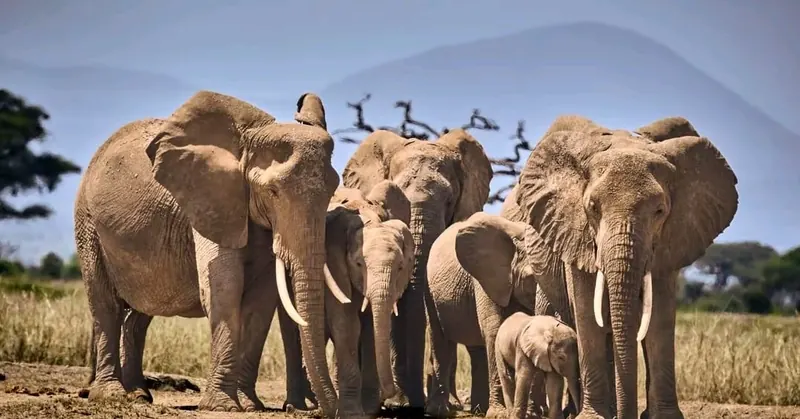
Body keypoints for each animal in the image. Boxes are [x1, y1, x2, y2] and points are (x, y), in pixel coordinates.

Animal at [73, 90, 347, 416]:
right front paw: (224, 406)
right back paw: (110, 395)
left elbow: (260, 301)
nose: (325, 411)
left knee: (141, 313)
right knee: (105, 305)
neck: (245, 144)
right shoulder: (209, 199)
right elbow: (224, 287)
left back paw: (139, 395)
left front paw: (249, 405)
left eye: (332, 191)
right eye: (273, 192)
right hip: (88, 222)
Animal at [513, 115, 739, 419]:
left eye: (660, 211)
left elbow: (659, 322)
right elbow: (588, 317)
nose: (627, 414)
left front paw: (663, 417)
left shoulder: (671, 242)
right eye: (592, 208)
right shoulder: (575, 234)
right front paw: (593, 417)